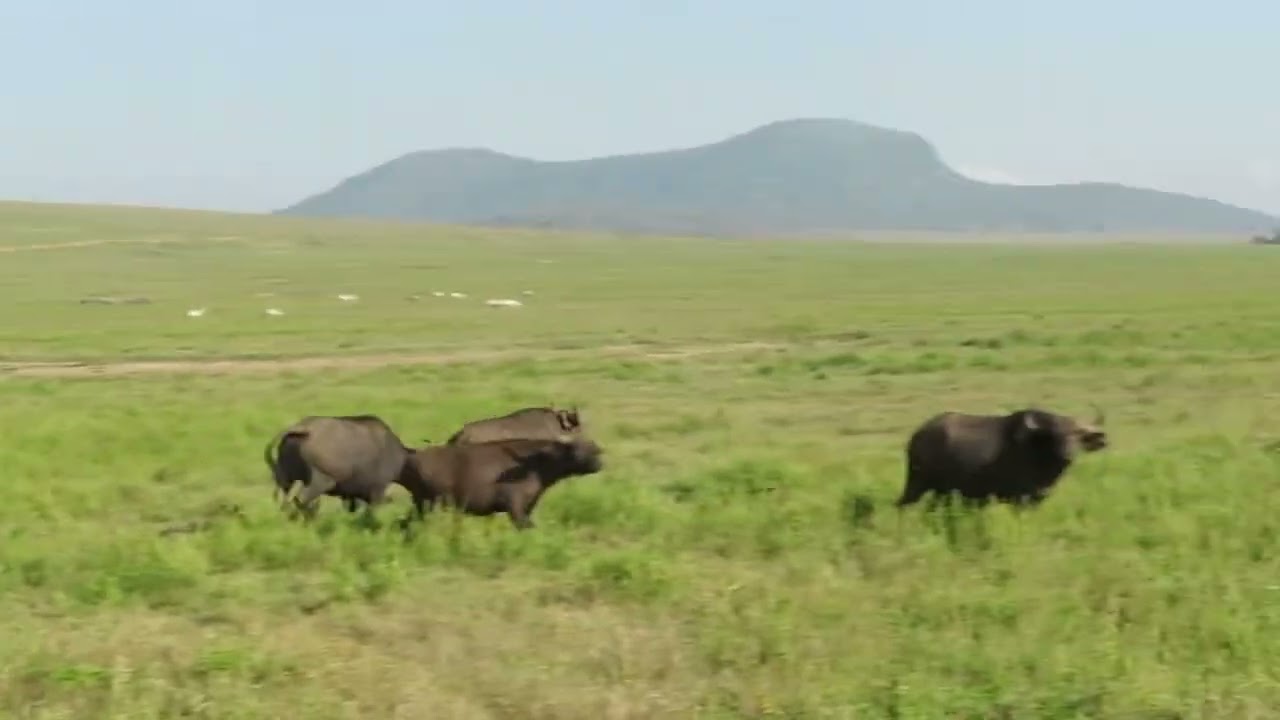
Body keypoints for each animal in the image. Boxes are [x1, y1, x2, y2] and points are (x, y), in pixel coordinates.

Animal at [262, 414, 414, 517]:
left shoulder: (349, 495)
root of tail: (304, 429)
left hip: (285, 480)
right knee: (301, 500)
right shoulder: (377, 490)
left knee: (287, 502)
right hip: (320, 482)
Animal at [400, 434, 604, 529]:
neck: (535, 463)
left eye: (593, 449)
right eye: (573, 448)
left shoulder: (528, 506)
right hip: (427, 505)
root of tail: (412, 457)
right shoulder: (515, 507)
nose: (598, 464)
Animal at [896, 406, 1109, 509]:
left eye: (1077, 435)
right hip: (917, 484)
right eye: (1055, 435)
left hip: (941, 492)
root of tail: (918, 435)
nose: (1067, 455)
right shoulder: (1021, 500)